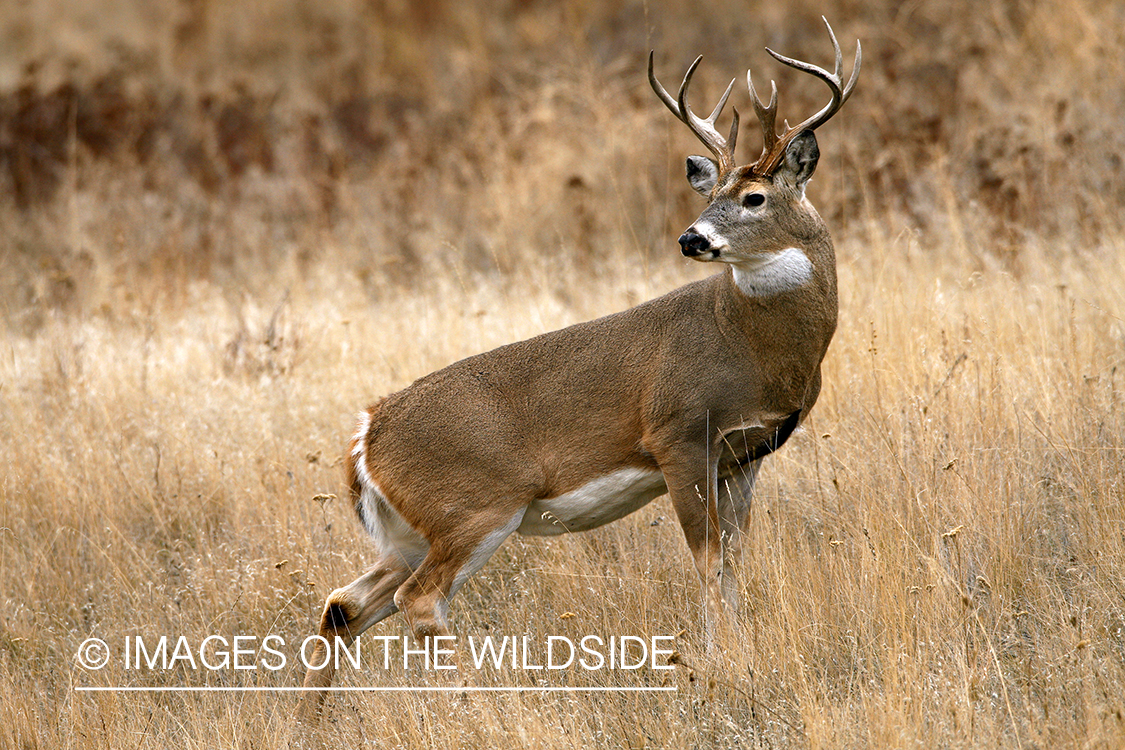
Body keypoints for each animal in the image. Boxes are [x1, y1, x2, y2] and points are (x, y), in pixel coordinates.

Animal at [299, 16, 859, 710]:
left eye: (754, 197)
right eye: (716, 194)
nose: (691, 238)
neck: (749, 345)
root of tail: (366, 433)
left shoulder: (744, 454)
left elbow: (733, 564)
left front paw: (739, 658)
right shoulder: (678, 434)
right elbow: (706, 563)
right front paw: (725, 666)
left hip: (410, 530)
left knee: (344, 603)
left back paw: (312, 717)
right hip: (476, 506)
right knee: (419, 599)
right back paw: (477, 700)